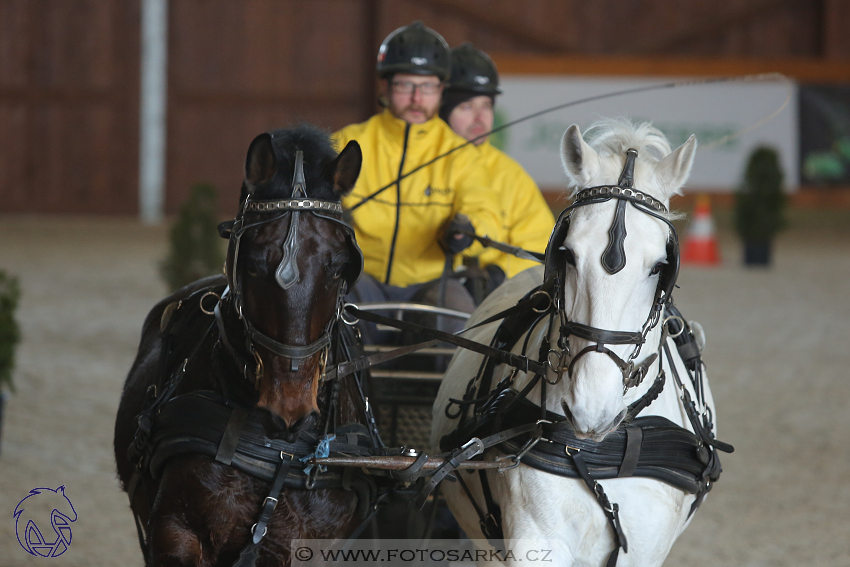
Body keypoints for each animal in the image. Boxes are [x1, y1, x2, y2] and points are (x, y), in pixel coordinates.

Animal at [434, 117, 724, 564]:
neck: (602, 448)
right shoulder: (536, 537)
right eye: (567, 253)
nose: (592, 408)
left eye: (661, 265)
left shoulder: (644, 546)